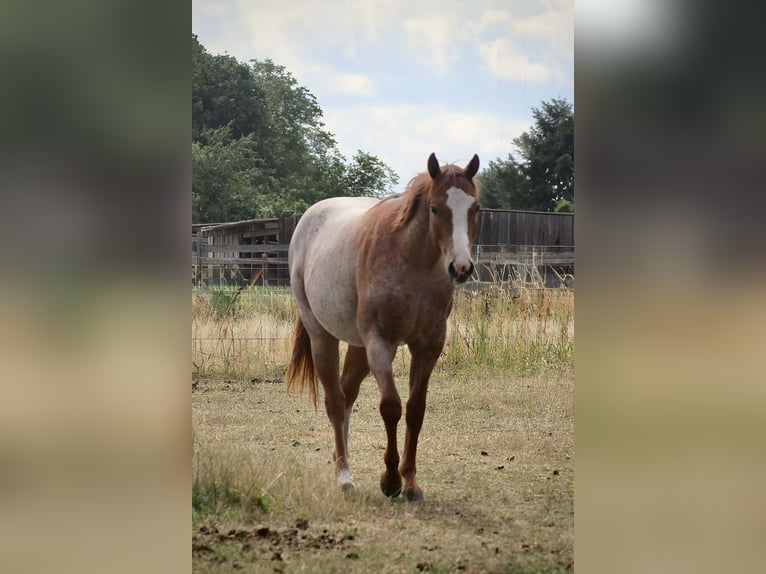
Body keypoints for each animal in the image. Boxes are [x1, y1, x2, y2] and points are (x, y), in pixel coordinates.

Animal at [286, 152, 480, 501]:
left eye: (475, 208)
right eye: (435, 208)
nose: (460, 267)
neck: (413, 264)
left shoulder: (428, 347)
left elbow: (415, 410)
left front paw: (411, 482)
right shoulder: (380, 343)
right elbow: (391, 406)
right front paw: (390, 480)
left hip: (357, 346)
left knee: (347, 392)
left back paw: (340, 455)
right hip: (323, 336)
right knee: (335, 400)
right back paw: (344, 475)